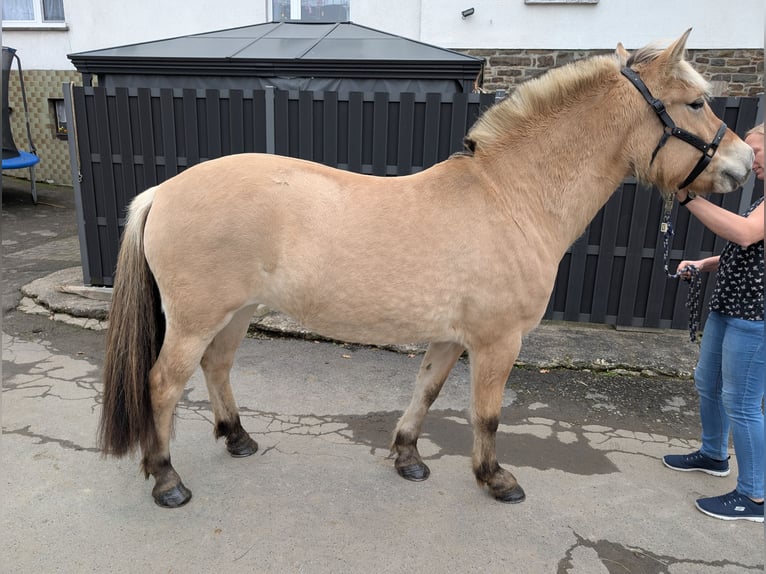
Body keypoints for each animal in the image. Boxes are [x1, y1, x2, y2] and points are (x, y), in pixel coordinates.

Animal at [99, 31, 752, 508]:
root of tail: (162, 191)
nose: (746, 163)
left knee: (217, 366)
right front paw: (496, 479)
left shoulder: (449, 337)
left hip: (238, 312)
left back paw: (238, 439)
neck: (509, 197)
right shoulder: (497, 340)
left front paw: (408, 457)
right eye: (695, 103)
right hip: (195, 319)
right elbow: (486, 413)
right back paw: (166, 479)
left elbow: (427, 391)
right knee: (162, 385)